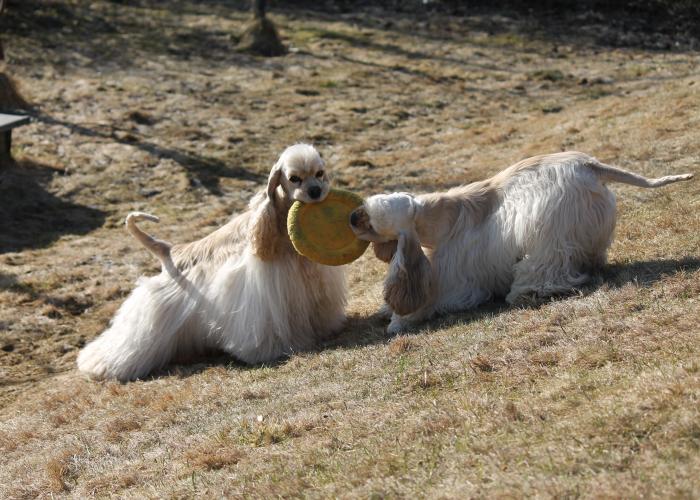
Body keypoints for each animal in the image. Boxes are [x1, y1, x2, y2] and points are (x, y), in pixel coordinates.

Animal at [77, 143, 348, 380]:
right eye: (294, 178)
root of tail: (169, 251)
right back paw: (99, 365)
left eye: (319, 173)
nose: (316, 191)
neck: (279, 217)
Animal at [352, 150, 692, 334]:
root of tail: (590, 164)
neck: (434, 219)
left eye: (371, 222)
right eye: (364, 209)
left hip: (552, 231)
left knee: (547, 267)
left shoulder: (456, 280)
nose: (352, 216)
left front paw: (398, 322)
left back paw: (529, 292)